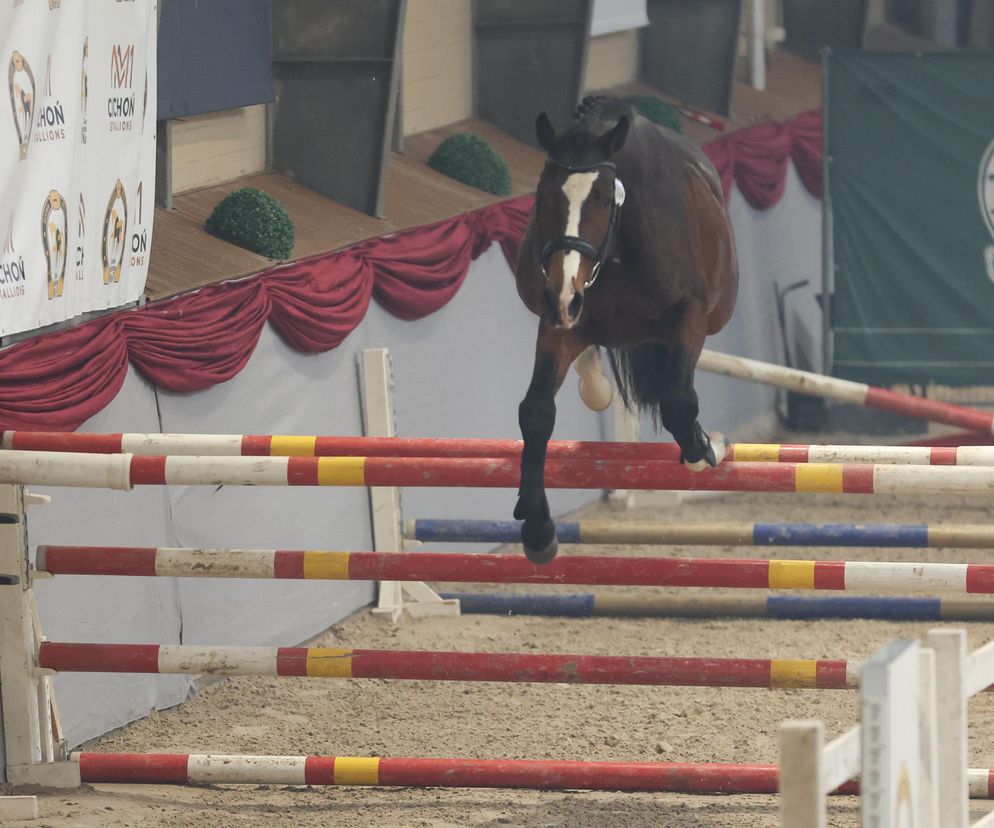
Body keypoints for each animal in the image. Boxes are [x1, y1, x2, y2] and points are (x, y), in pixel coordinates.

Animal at [512, 97, 736, 564]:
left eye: (601, 200)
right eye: (542, 196)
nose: (562, 293)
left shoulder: (689, 315)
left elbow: (678, 401)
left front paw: (703, 450)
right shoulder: (561, 323)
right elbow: (536, 413)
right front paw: (538, 530)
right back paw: (595, 384)